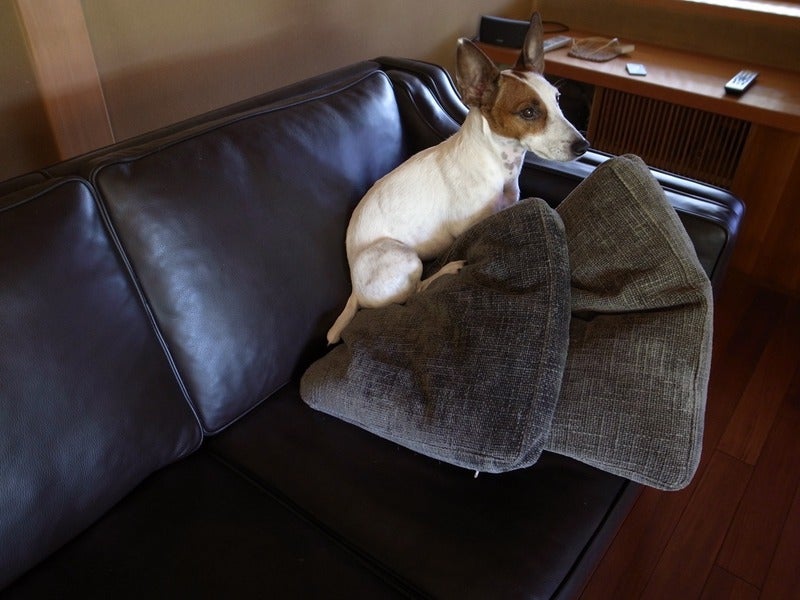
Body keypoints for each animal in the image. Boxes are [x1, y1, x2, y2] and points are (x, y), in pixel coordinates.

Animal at [326, 13, 588, 344]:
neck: (498, 162)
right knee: (414, 292)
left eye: (557, 99)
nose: (583, 145)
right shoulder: (468, 227)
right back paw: (446, 270)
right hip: (403, 256)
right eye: (528, 112)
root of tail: (354, 292)